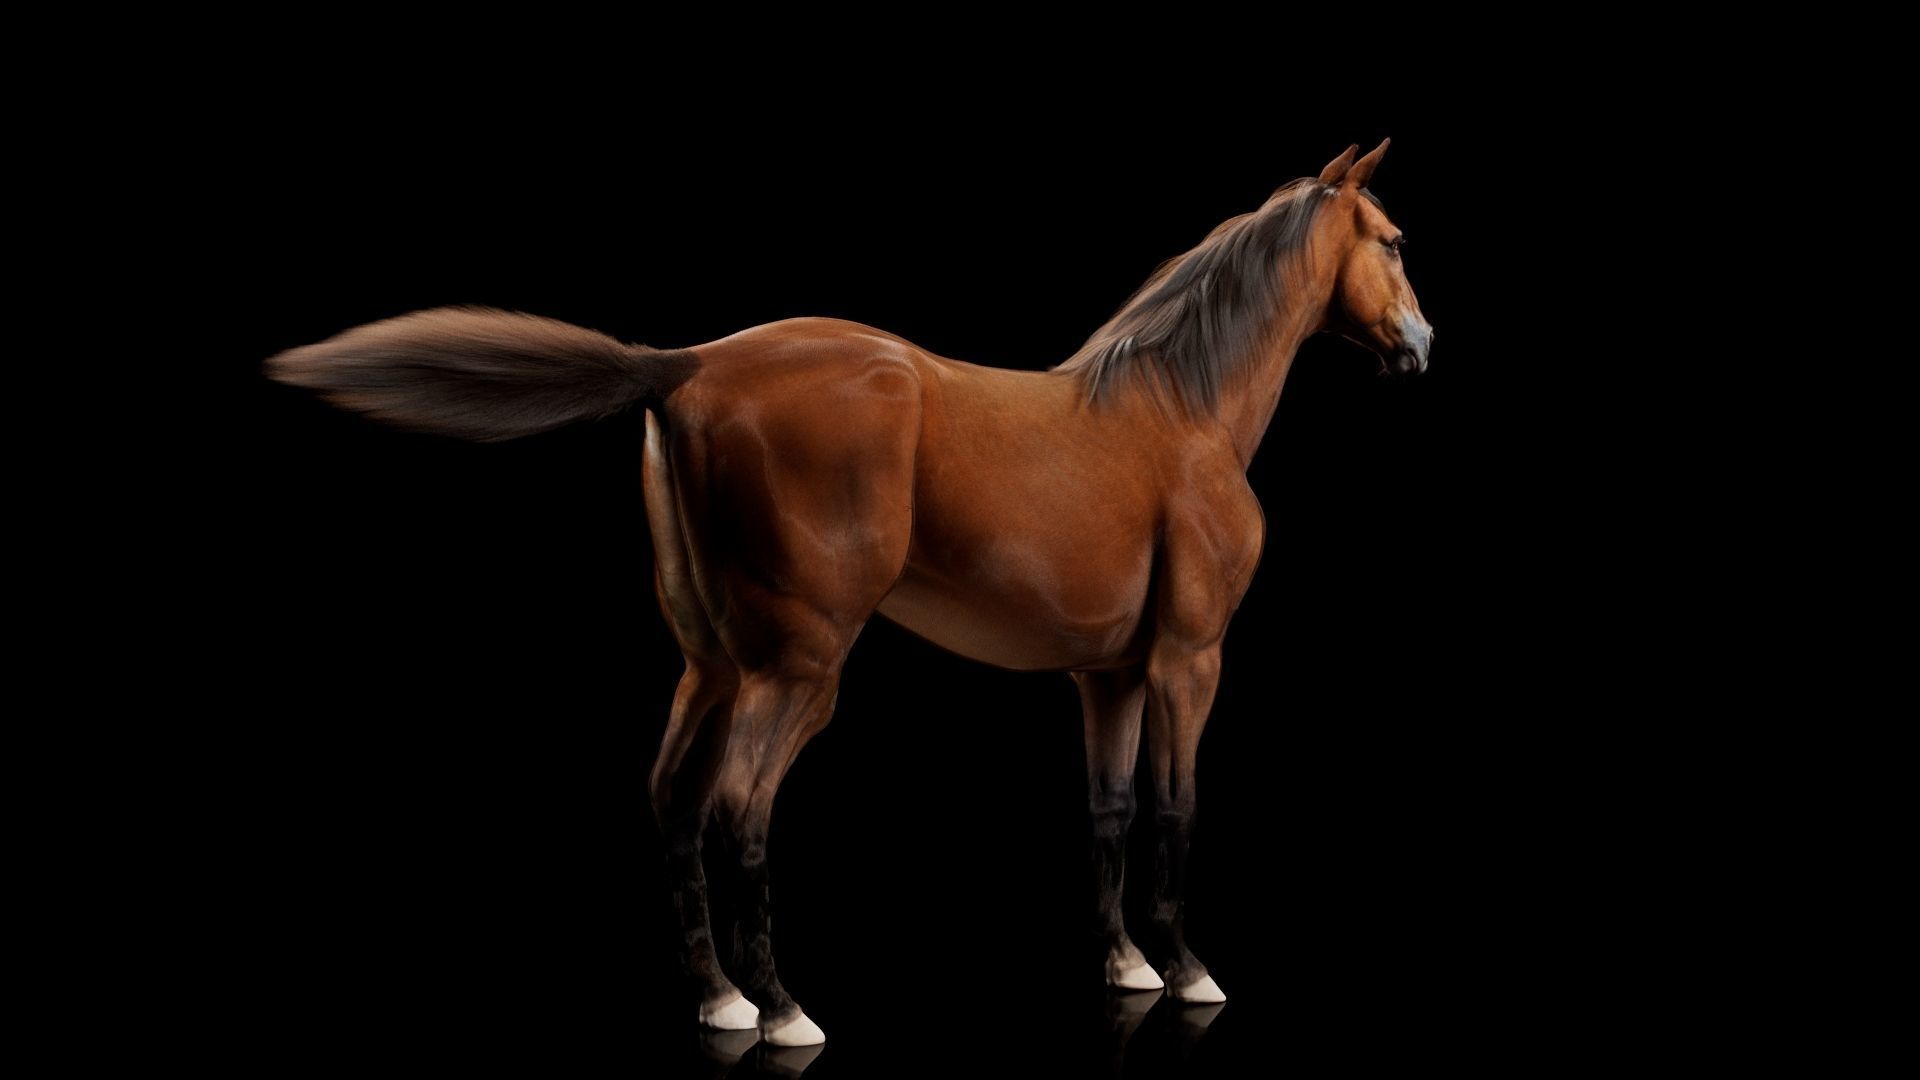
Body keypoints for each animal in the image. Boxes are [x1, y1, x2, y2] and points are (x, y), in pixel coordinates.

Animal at [266, 139, 1431, 1047]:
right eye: (1392, 240)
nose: (1422, 344)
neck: (1179, 410)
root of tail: (690, 365)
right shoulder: (1190, 660)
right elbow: (1178, 805)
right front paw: (1186, 970)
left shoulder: (1106, 675)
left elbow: (1108, 806)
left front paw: (1124, 963)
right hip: (799, 670)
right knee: (739, 803)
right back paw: (782, 1010)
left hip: (712, 663)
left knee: (672, 796)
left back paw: (722, 999)